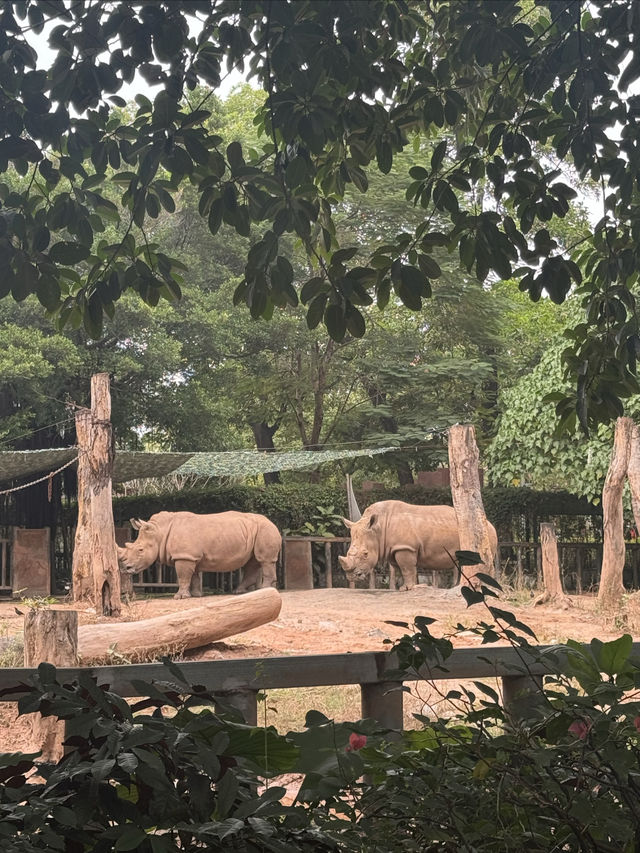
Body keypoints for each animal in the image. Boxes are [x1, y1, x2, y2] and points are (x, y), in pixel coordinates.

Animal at [117, 512, 282, 600]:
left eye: (140, 550)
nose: (126, 568)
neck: (159, 532)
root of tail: (273, 523)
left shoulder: (184, 556)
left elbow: (183, 576)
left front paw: (179, 597)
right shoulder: (190, 556)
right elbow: (194, 576)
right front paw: (195, 595)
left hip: (265, 530)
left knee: (264, 560)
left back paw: (265, 590)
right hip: (256, 531)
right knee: (252, 563)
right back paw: (239, 592)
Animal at [338, 502, 498, 588]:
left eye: (365, 554)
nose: (351, 577)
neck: (378, 529)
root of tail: (490, 523)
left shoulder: (405, 547)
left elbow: (407, 568)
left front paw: (408, 588)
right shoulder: (394, 548)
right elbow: (401, 569)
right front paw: (405, 587)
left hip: (486, 533)